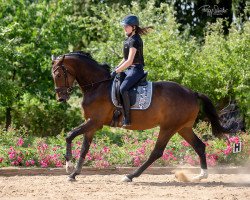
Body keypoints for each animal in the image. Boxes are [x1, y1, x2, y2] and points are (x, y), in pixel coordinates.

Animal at [51, 51, 232, 181]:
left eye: (58, 75)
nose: (61, 98)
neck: (97, 85)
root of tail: (192, 93)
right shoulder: (91, 123)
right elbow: (84, 148)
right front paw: (74, 174)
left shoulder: (95, 121)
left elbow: (69, 135)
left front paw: (68, 165)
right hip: (183, 128)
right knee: (200, 146)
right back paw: (201, 175)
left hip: (168, 128)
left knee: (157, 152)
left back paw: (130, 176)